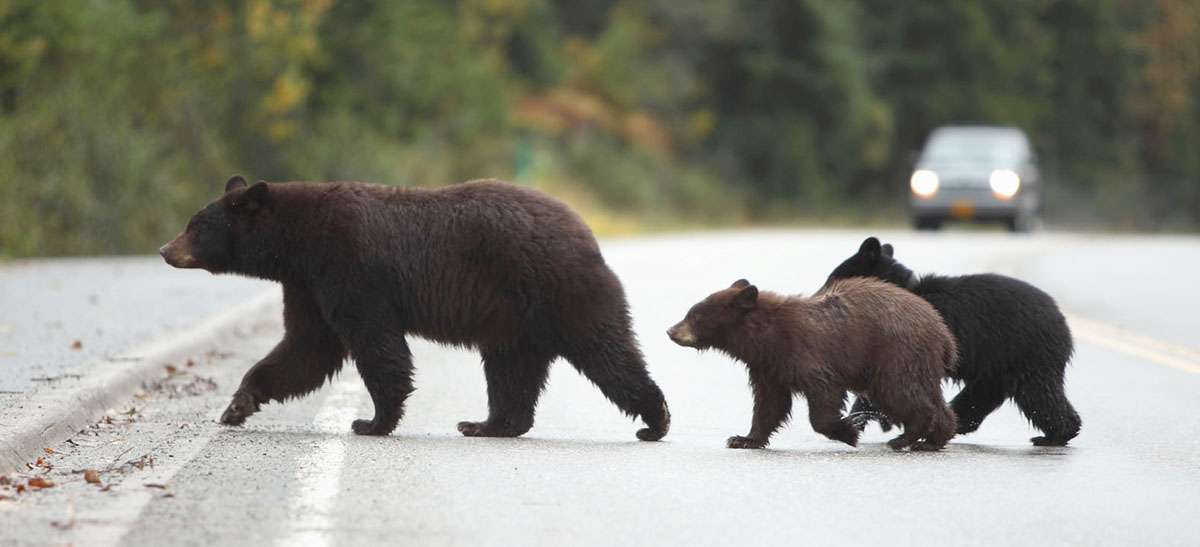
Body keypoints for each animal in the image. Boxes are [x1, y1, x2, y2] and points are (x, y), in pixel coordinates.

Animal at [160, 175, 670, 441]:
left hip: (556, 288)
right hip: (512, 319)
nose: (165, 249)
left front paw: (371, 421)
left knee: (604, 349)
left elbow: (373, 343)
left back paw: (655, 418)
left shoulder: (349, 268)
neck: (297, 243)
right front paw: (238, 405)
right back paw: (487, 424)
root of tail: (584, 230)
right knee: (512, 370)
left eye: (195, 225)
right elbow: (306, 347)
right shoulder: (306, 285)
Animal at [667, 278, 958, 451]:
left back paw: (903, 438)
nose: (671, 331)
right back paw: (933, 440)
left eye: (695, 314)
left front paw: (848, 432)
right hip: (919, 362)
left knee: (898, 392)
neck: (766, 338)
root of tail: (944, 334)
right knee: (929, 398)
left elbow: (823, 394)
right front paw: (743, 438)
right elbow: (769, 404)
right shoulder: (769, 367)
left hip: (895, 354)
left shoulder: (806, 353)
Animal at [822, 237, 1081, 446]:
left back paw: (1055, 436)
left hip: (1025, 355)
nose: (820, 296)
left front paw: (854, 420)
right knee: (981, 396)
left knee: (1038, 395)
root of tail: (1063, 322)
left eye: (833, 277)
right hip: (997, 367)